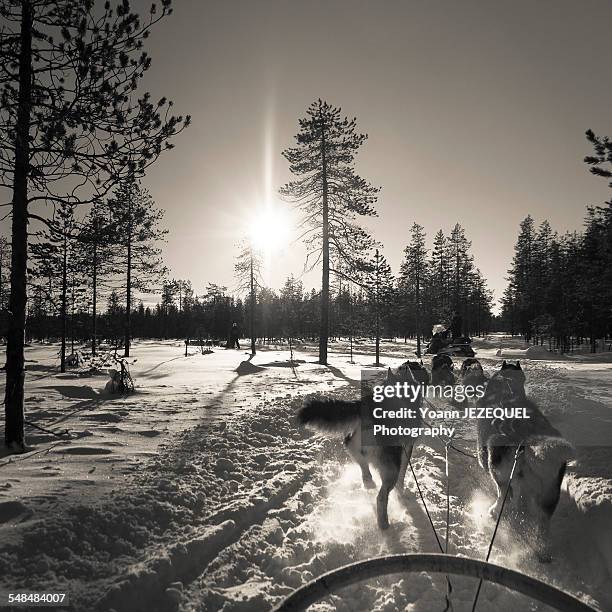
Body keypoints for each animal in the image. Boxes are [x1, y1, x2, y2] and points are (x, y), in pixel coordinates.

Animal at [298, 360, 424, 528]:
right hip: (391, 468)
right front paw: (401, 492)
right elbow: (403, 475)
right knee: (381, 497)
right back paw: (383, 523)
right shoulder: (407, 448)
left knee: (360, 461)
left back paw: (368, 480)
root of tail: (369, 407)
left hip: (352, 444)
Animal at [478, 360, 572, 560]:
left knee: (504, 496)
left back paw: (495, 511)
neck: (506, 389)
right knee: (542, 522)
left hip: (499, 469)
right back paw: (542, 550)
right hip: (549, 494)